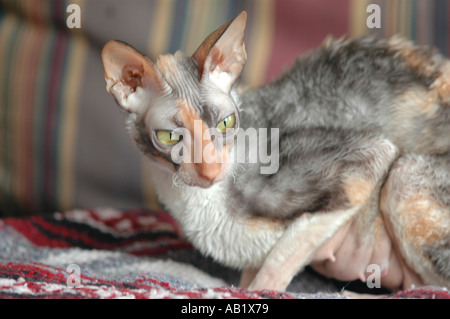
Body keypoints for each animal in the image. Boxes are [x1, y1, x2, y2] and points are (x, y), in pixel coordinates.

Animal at [102, 11, 450, 292]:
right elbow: (251, 272)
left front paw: (257, 290)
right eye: (169, 137)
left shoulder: (367, 158)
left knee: (432, 287)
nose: (211, 170)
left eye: (227, 122)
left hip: (403, 179)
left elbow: (278, 261)